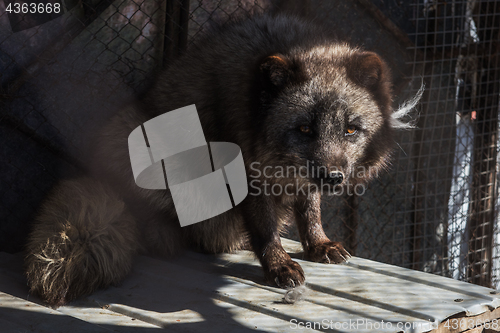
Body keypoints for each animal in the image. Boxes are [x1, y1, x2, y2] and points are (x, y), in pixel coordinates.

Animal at [26, 13, 418, 304]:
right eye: (304, 128)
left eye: (351, 129)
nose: (334, 178)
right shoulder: (248, 170)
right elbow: (264, 227)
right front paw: (278, 264)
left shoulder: (301, 178)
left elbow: (310, 209)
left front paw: (318, 244)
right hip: (131, 137)